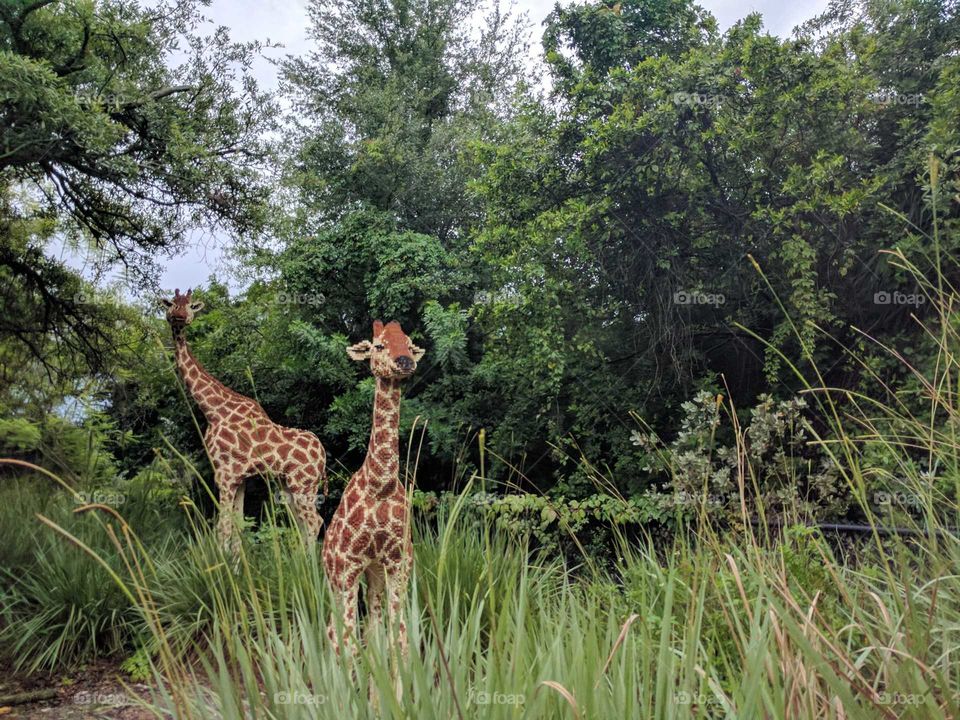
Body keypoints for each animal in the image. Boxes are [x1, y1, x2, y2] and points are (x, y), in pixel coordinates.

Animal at [160, 288, 327, 553]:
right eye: (172, 304)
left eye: (191, 306)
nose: (179, 317)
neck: (212, 409)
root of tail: (323, 457)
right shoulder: (240, 478)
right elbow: (238, 525)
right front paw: (236, 562)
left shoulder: (224, 473)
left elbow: (223, 527)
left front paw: (222, 563)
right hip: (289, 484)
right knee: (302, 521)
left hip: (303, 482)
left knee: (314, 521)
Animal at [322, 320, 424, 659]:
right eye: (379, 345)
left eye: (409, 344)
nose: (404, 362)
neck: (380, 483)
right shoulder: (348, 566)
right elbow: (347, 642)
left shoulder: (397, 564)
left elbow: (399, 639)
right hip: (334, 576)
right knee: (333, 631)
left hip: (375, 574)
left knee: (374, 622)